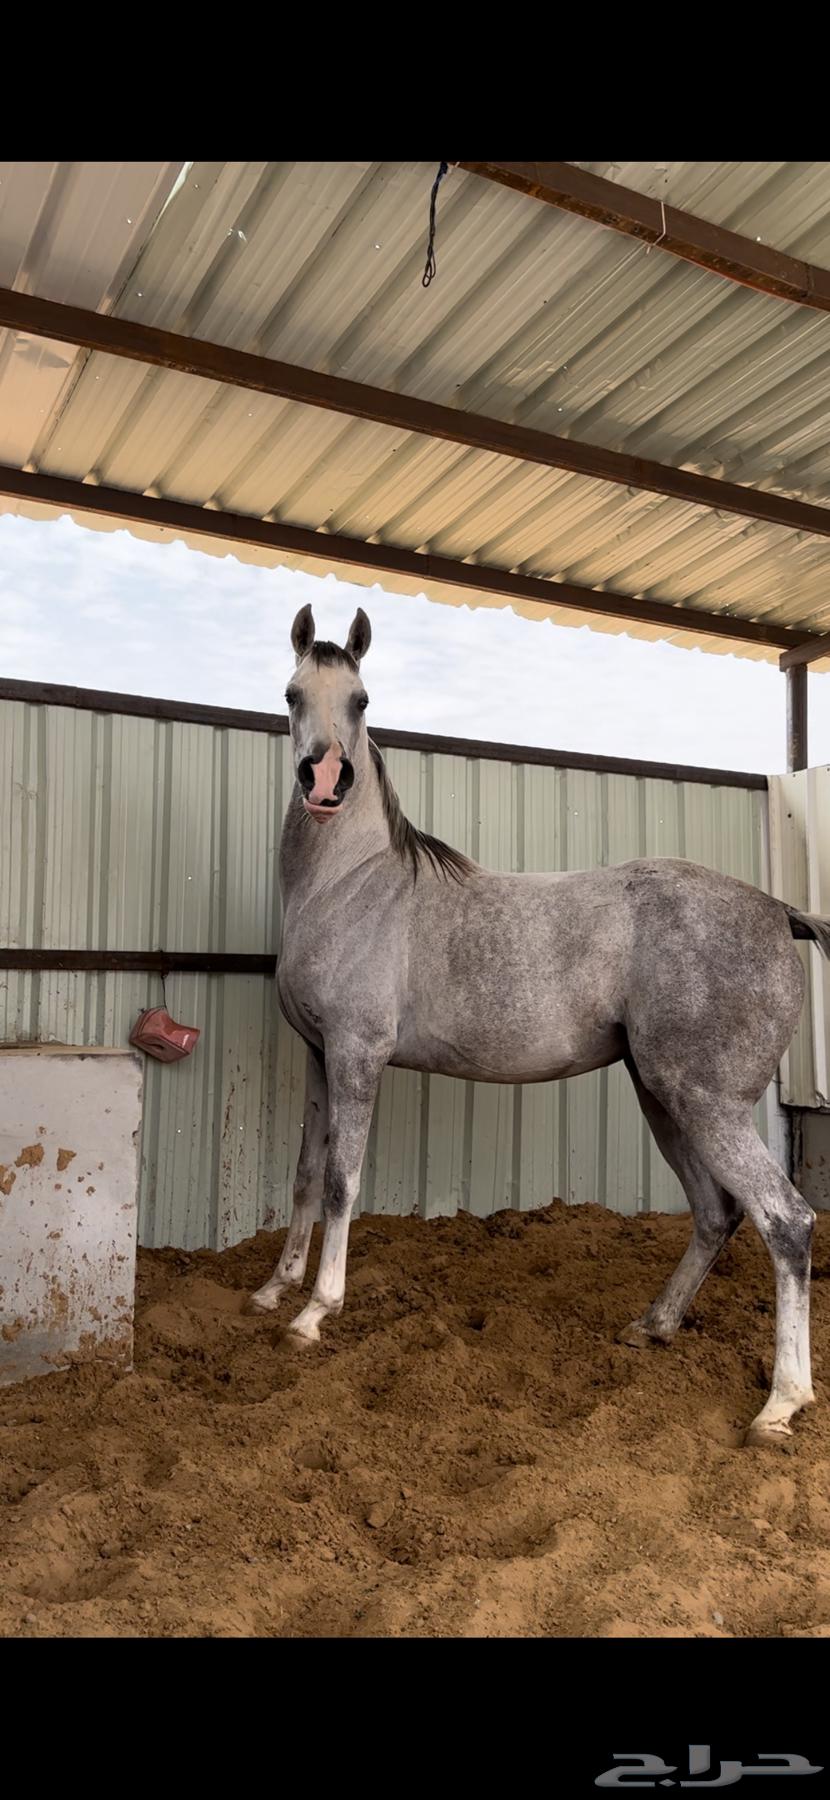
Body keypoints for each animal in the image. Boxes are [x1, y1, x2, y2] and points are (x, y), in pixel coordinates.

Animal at [249, 603, 827, 1448]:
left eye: (360, 700)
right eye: (292, 694)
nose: (325, 781)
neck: (350, 885)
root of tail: (779, 911)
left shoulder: (358, 1055)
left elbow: (340, 1179)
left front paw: (315, 1314)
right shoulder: (320, 1058)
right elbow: (302, 1173)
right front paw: (272, 1291)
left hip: (707, 1105)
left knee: (786, 1221)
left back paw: (780, 1404)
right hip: (663, 1098)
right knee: (716, 1213)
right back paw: (651, 1327)